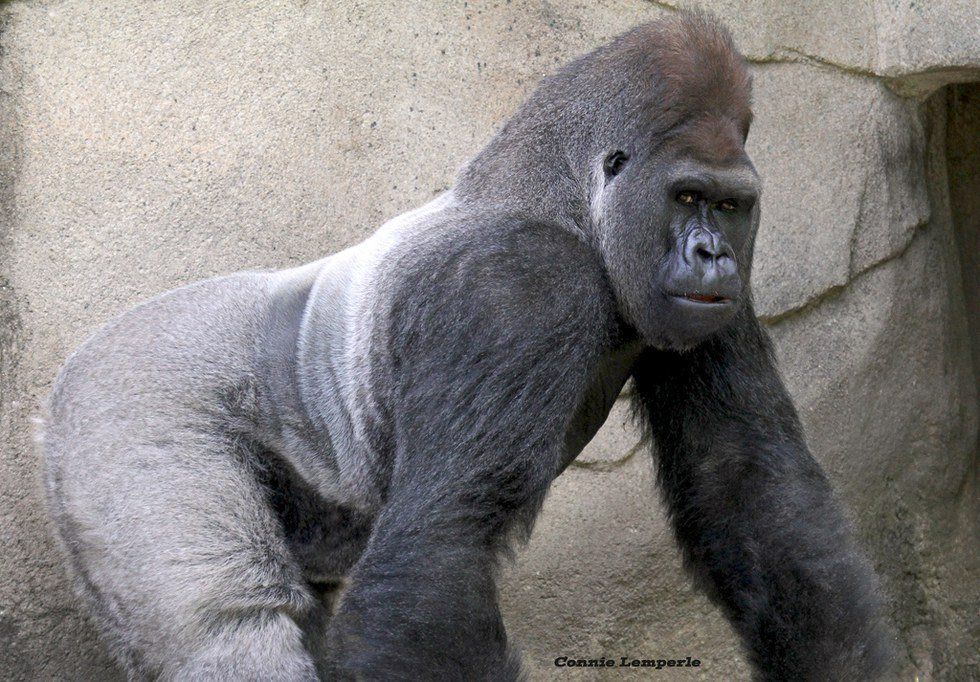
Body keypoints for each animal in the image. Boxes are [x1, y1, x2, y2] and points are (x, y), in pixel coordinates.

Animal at [41, 10, 893, 681]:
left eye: (729, 205)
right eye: (685, 196)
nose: (712, 254)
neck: (565, 205)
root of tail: (59, 389)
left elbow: (751, 493)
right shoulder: (514, 289)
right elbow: (437, 561)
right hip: (120, 411)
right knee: (229, 628)